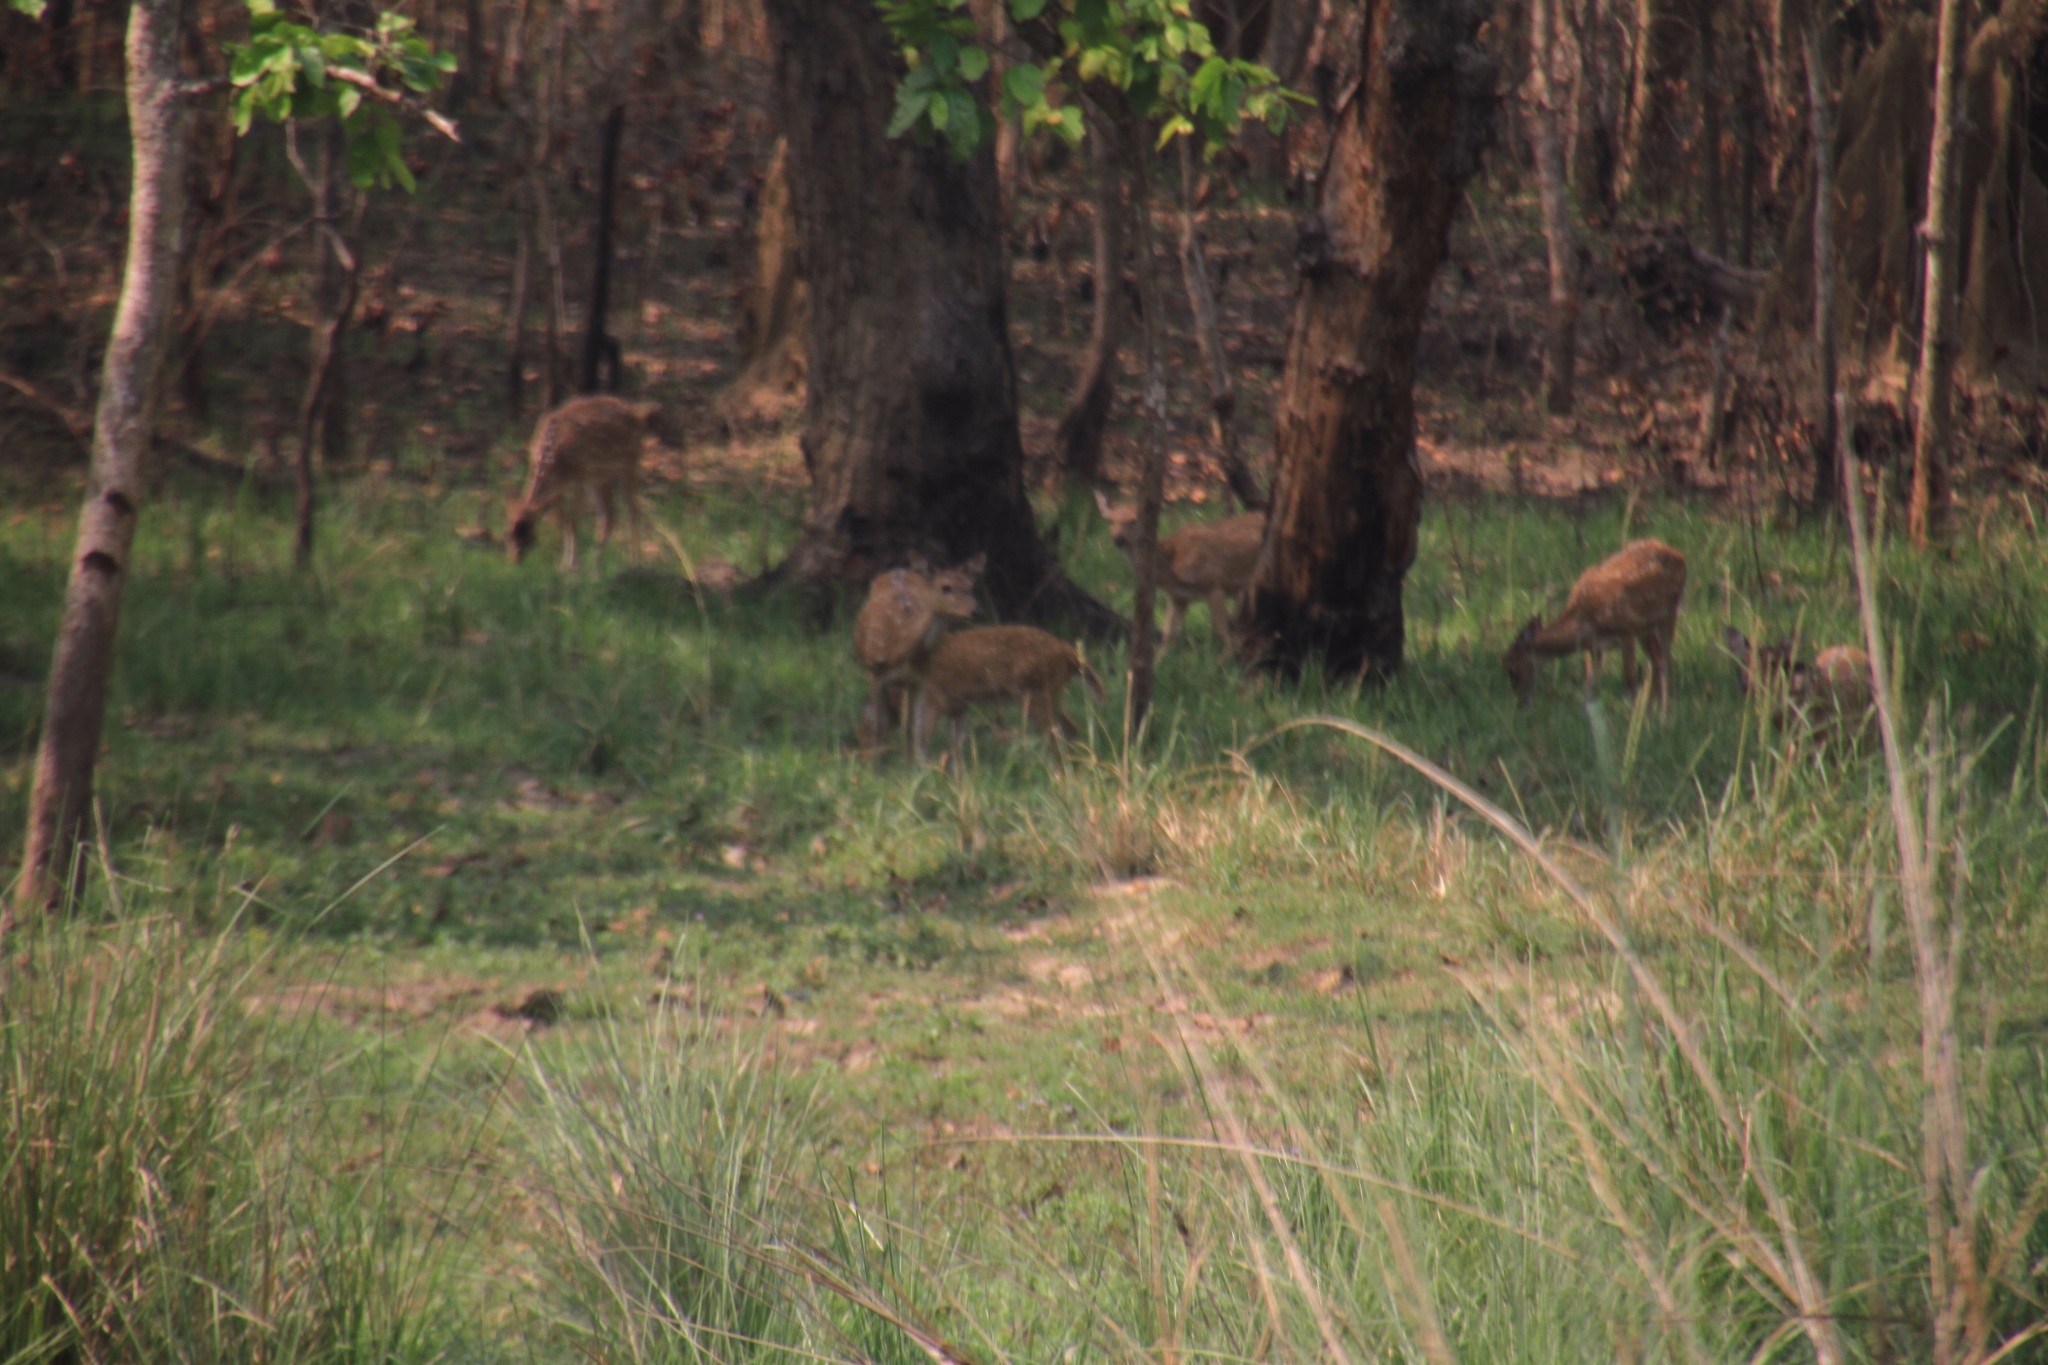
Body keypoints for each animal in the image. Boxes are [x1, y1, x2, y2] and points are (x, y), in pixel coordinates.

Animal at [505, 392, 659, 568]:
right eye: (507, 533)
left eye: (527, 531)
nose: (514, 559)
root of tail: (636, 413)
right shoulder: (559, 488)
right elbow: (562, 520)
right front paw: (561, 564)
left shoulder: (578, 478)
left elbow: (572, 522)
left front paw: (572, 565)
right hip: (599, 478)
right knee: (609, 515)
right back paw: (595, 565)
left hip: (629, 463)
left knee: (632, 511)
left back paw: (634, 562)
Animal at [843, 560, 978, 765]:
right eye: (945, 587)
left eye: (970, 586)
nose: (975, 611)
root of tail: (898, 569)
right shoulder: (875, 673)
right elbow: (878, 725)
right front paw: (873, 767)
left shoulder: (922, 680)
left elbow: (917, 730)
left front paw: (919, 767)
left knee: (909, 725)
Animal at [913, 626, 1105, 765]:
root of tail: (1068, 653)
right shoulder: (951, 703)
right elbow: (948, 745)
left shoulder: (936, 695)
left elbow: (924, 741)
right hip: (1053, 694)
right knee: (1070, 726)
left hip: (1034, 694)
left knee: (1053, 735)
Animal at [1089, 493, 1261, 654]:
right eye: (1111, 521)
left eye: (1133, 520)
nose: (1118, 539)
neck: (1170, 564)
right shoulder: (1178, 597)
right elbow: (1168, 635)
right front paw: (1159, 662)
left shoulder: (1215, 583)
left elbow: (1223, 632)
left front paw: (1223, 661)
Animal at [1499, 536, 1687, 712]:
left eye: (1511, 669)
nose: (1521, 704)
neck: (1585, 621)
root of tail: (1679, 555)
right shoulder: (1594, 647)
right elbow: (1589, 686)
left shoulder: (1626, 631)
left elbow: (1629, 677)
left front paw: (1636, 715)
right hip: (1646, 628)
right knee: (1657, 657)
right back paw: (1654, 706)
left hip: (1670, 612)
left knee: (1665, 660)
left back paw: (1664, 713)